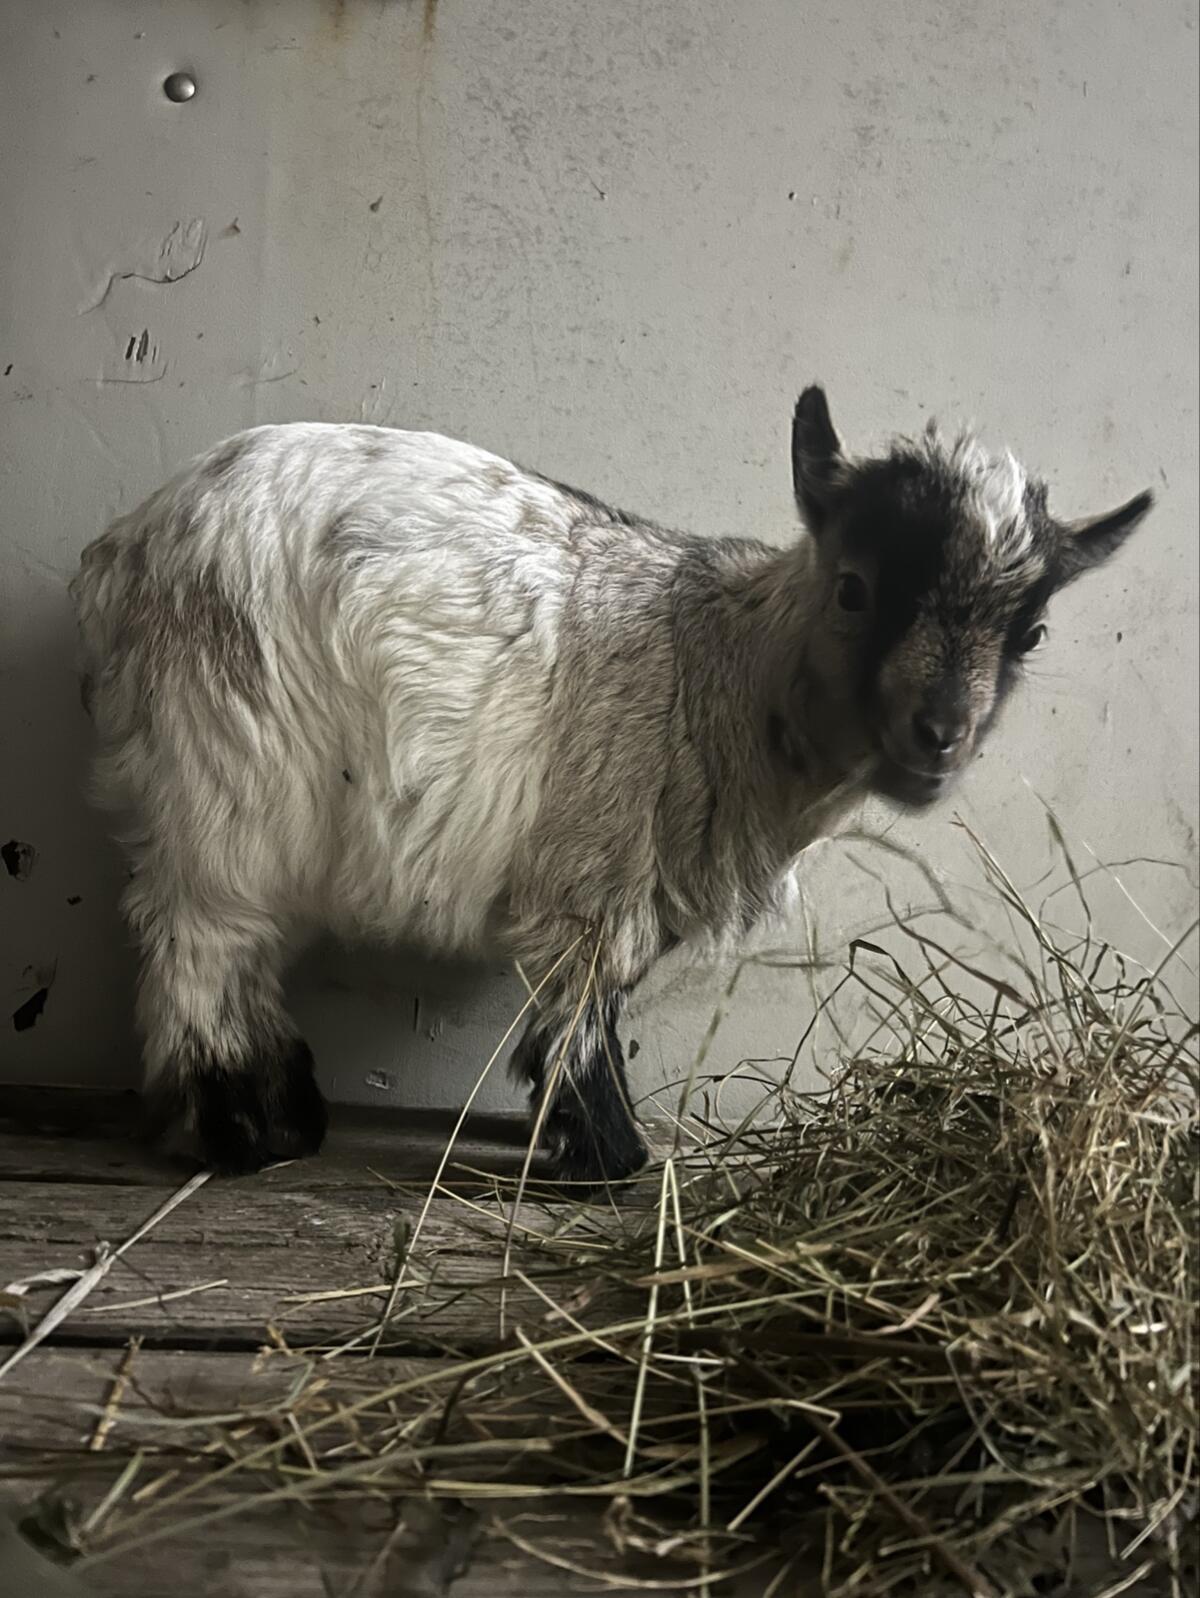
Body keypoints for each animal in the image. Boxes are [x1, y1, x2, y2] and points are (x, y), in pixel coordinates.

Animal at [70, 387, 1152, 1181]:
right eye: (854, 587)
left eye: (1031, 632)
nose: (940, 738)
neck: (722, 665)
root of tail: (123, 551)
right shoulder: (594, 873)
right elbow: (581, 1018)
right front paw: (611, 1155)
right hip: (229, 770)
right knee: (202, 951)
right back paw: (247, 1135)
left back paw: (288, 1112)